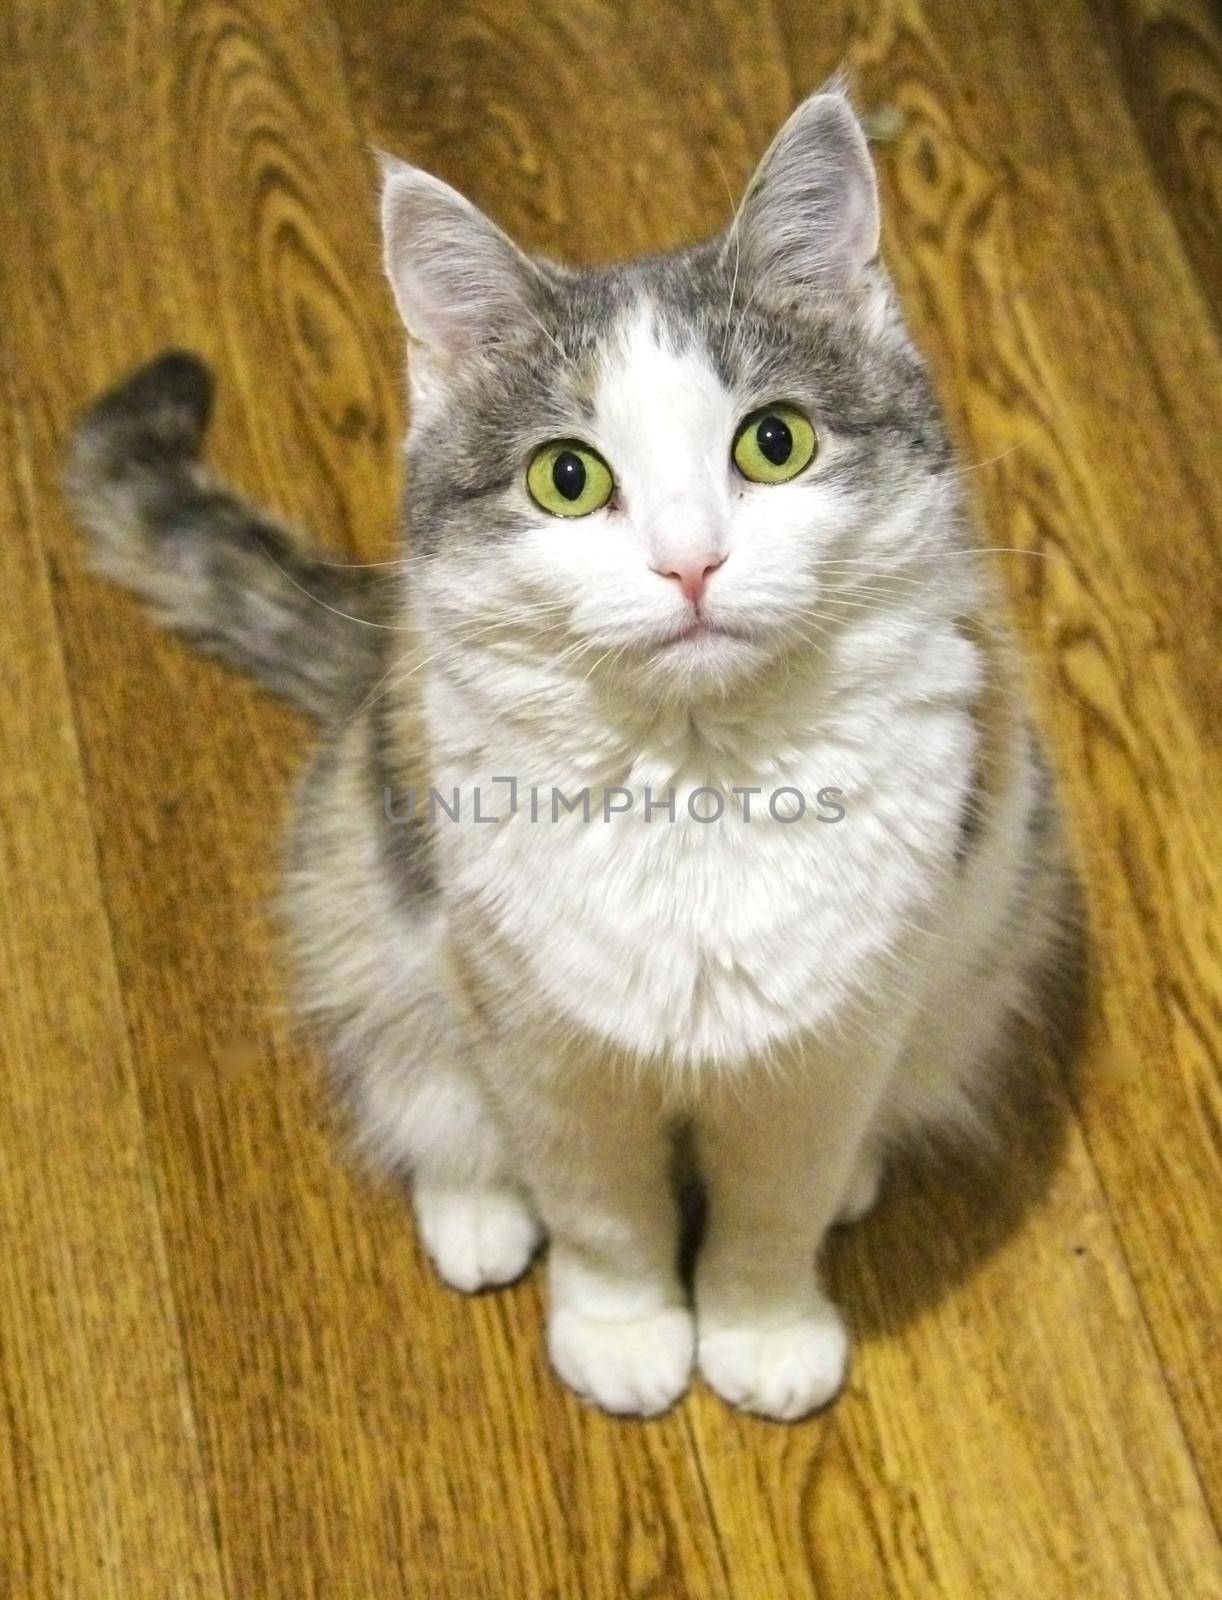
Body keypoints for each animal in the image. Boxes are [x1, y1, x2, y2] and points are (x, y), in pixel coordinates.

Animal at [69, 81, 1081, 1420]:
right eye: (566, 476)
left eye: (773, 444)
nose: (690, 562)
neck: (702, 785)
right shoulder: (541, 1043)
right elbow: (602, 1211)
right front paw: (622, 1331)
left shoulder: (830, 1043)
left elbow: (774, 1206)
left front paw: (760, 1330)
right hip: (357, 874)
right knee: (413, 1075)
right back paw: (473, 1209)